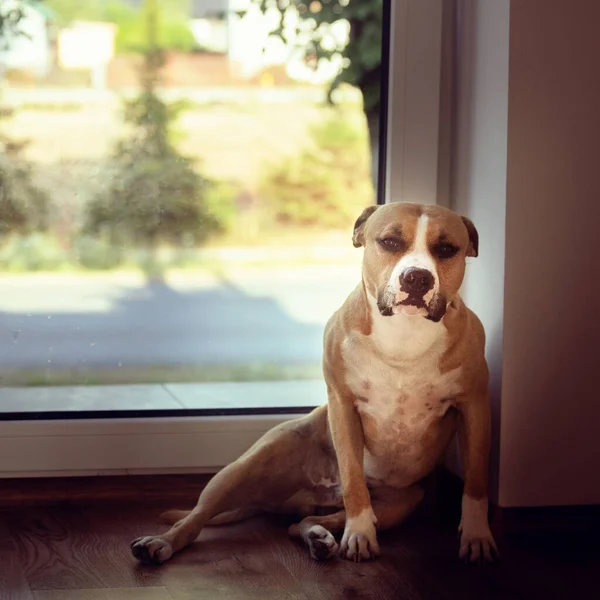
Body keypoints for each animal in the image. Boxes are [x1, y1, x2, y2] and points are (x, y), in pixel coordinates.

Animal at [130, 204, 496, 564]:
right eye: (390, 242)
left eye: (446, 249)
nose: (417, 277)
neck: (404, 336)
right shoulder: (343, 405)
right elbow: (353, 481)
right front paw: (359, 535)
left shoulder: (476, 408)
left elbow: (476, 483)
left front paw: (477, 536)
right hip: (240, 470)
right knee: (195, 518)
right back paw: (161, 542)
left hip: (400, 504)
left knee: (302, 522)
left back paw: (319, 538)